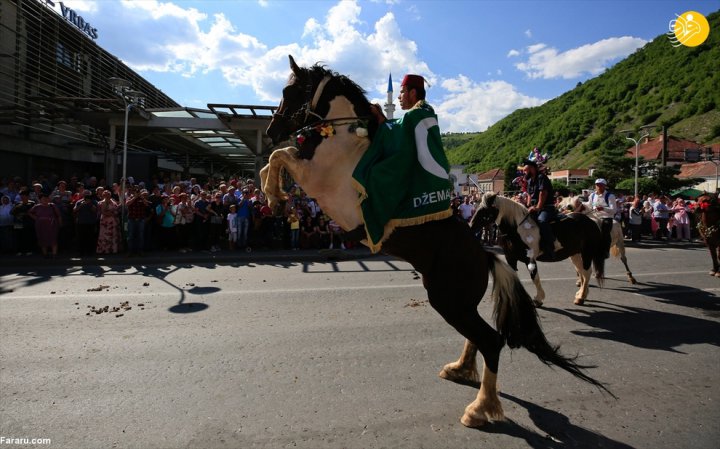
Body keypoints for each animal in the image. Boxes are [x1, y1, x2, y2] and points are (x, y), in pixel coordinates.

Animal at [472, 192, 600, 304]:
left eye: (485, 209)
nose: (471, 225)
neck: (518, 229)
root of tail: (591, 220)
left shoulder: (530, 259)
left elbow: (535, 278)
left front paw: (538, 298)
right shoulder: (511, 258)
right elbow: (513, 276)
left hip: (586, 253)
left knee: (586, 272)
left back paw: (581, 297)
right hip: (575, 254)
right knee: (581, 272)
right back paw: (581, 294)